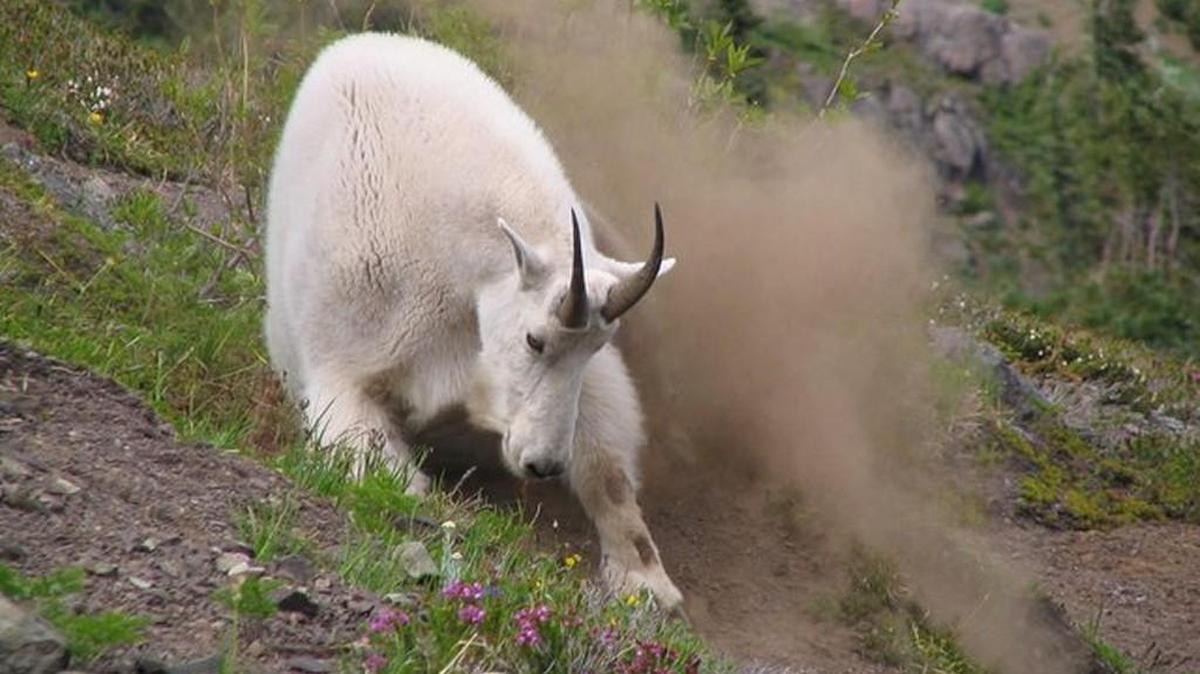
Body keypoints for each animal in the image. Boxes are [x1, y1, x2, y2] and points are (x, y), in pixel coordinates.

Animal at [263, 33, 682, 608]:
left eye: (597, 346)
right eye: (533, 340)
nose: (543, 465)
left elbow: (606, 465)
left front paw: (647, 584)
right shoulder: (346, 362)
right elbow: (382, 462)